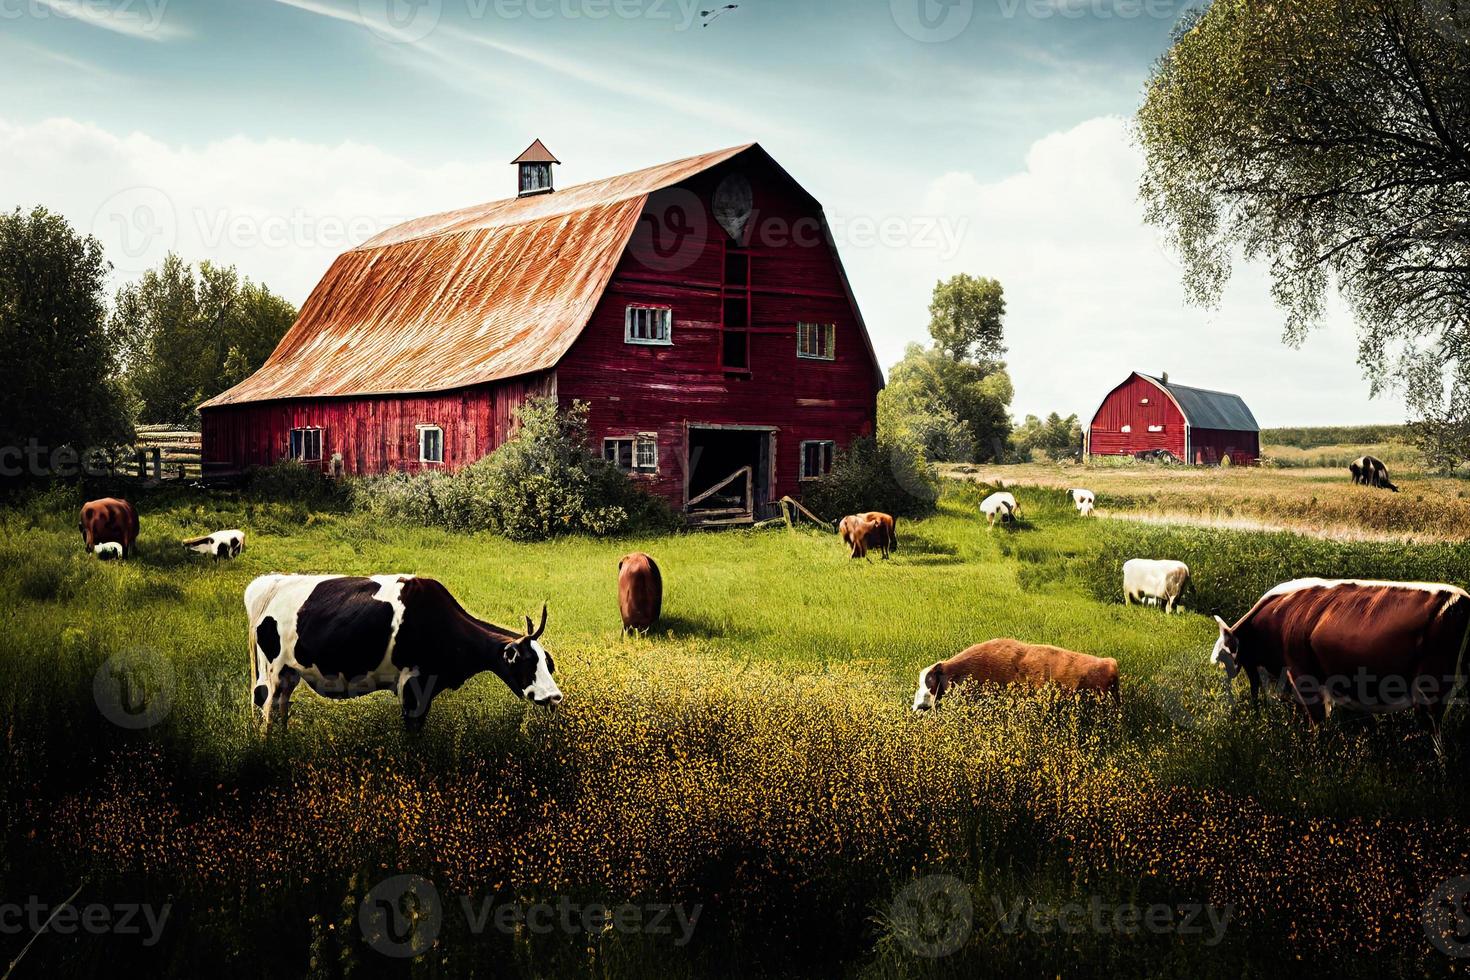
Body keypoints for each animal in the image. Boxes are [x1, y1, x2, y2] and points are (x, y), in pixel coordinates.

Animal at [244, 575, 558, 734]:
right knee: (267, 708)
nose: (555, 696)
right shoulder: (412, 684)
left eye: (549, 663)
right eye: (527, 662)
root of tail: (269, 584)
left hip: (290, 672)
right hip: (272, 670)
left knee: (281, 706)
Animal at [1211, 575, 1470, 743]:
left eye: (1224, 658)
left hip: (1430, 688)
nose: (1253, 707)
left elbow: (1317, 722)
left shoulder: (1303, 676)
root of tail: (1460, 598)